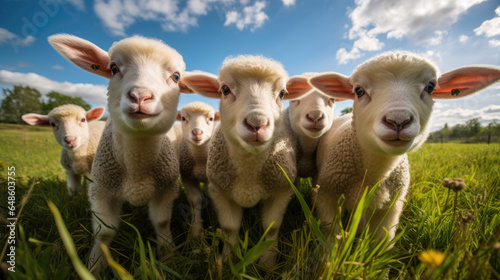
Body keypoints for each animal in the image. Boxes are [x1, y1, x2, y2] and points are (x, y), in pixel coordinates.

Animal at [48, 33, 187, 272]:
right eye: (113, 68)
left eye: (176, 76)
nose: (140, 96)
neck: (136, 165)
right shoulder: (101, 190)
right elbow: (104, 232)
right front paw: (94, 266)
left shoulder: (167, 188)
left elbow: (161, 223)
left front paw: (169, 257)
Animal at [178, 101, 221, 237]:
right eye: (183, 118)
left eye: (211, 118)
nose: (197, 132)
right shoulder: (187, 178)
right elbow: (195, 201)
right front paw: (196, 232)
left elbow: (212, 198)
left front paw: (215, 225)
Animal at [308, 50, 500, 245]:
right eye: (359, 91)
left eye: (430, 87)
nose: (398, 120)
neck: (373, 174)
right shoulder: (326, 196)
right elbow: (332, 237)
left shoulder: (392, 206)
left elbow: (381, 240)